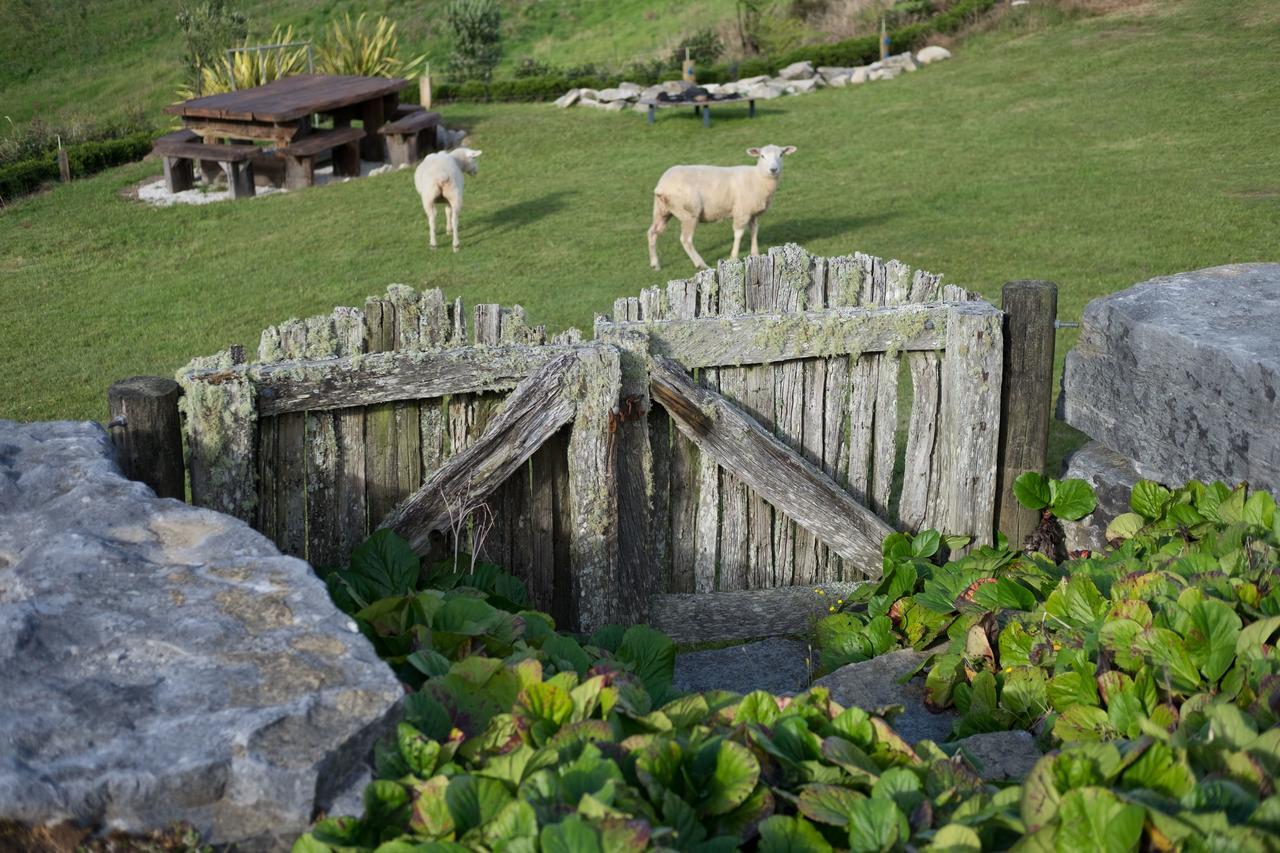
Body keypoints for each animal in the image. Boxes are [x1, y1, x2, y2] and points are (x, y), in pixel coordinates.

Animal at [645, 142, 793, 268]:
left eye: (781, 155)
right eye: (762, 156)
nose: (773, 169)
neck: (758, 178)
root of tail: (662, 186)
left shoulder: (752, 213)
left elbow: (754, 230)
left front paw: (755, 254)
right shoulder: (741, 211)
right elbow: (738, 234)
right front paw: (733, 257)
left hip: (662, 210)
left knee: (652, 232)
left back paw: (655, 264)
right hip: (689, 212)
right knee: (686, 239)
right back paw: (701, 264)